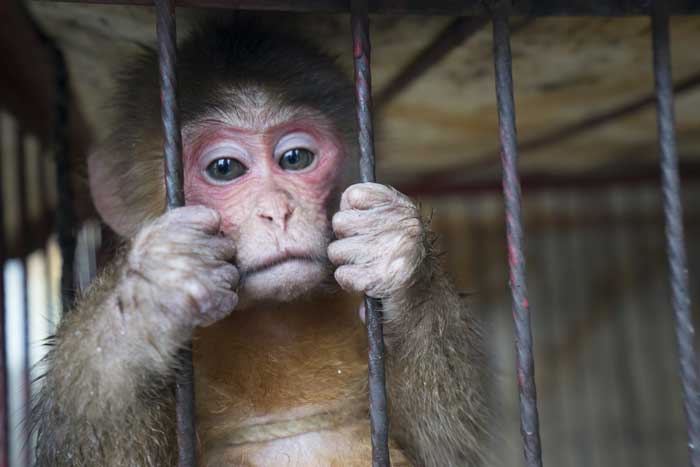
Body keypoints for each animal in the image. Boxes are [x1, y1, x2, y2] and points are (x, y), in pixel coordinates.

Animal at [32, 17, 487, 467]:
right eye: (225, 168)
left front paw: (396, 257)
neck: (272, 320)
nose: (276, 210)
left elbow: (448, 451)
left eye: (295, 159)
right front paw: (152, 294)